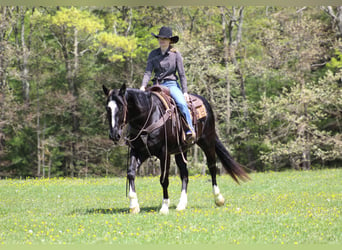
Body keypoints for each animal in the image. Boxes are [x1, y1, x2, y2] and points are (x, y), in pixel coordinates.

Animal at [102, 84, 248, 215]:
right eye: (108, 108)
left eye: (121, 107)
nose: (114, 134)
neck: (148, 116)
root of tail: (204, 101)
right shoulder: (138, 151)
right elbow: (131, 173)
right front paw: (134, 206)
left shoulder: (164, 153)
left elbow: (163, 179)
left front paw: (164, 207)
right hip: (181, 150)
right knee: (185, 174)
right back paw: (181, 204)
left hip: (207, 142)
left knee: (212, 167)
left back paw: (218, 199)